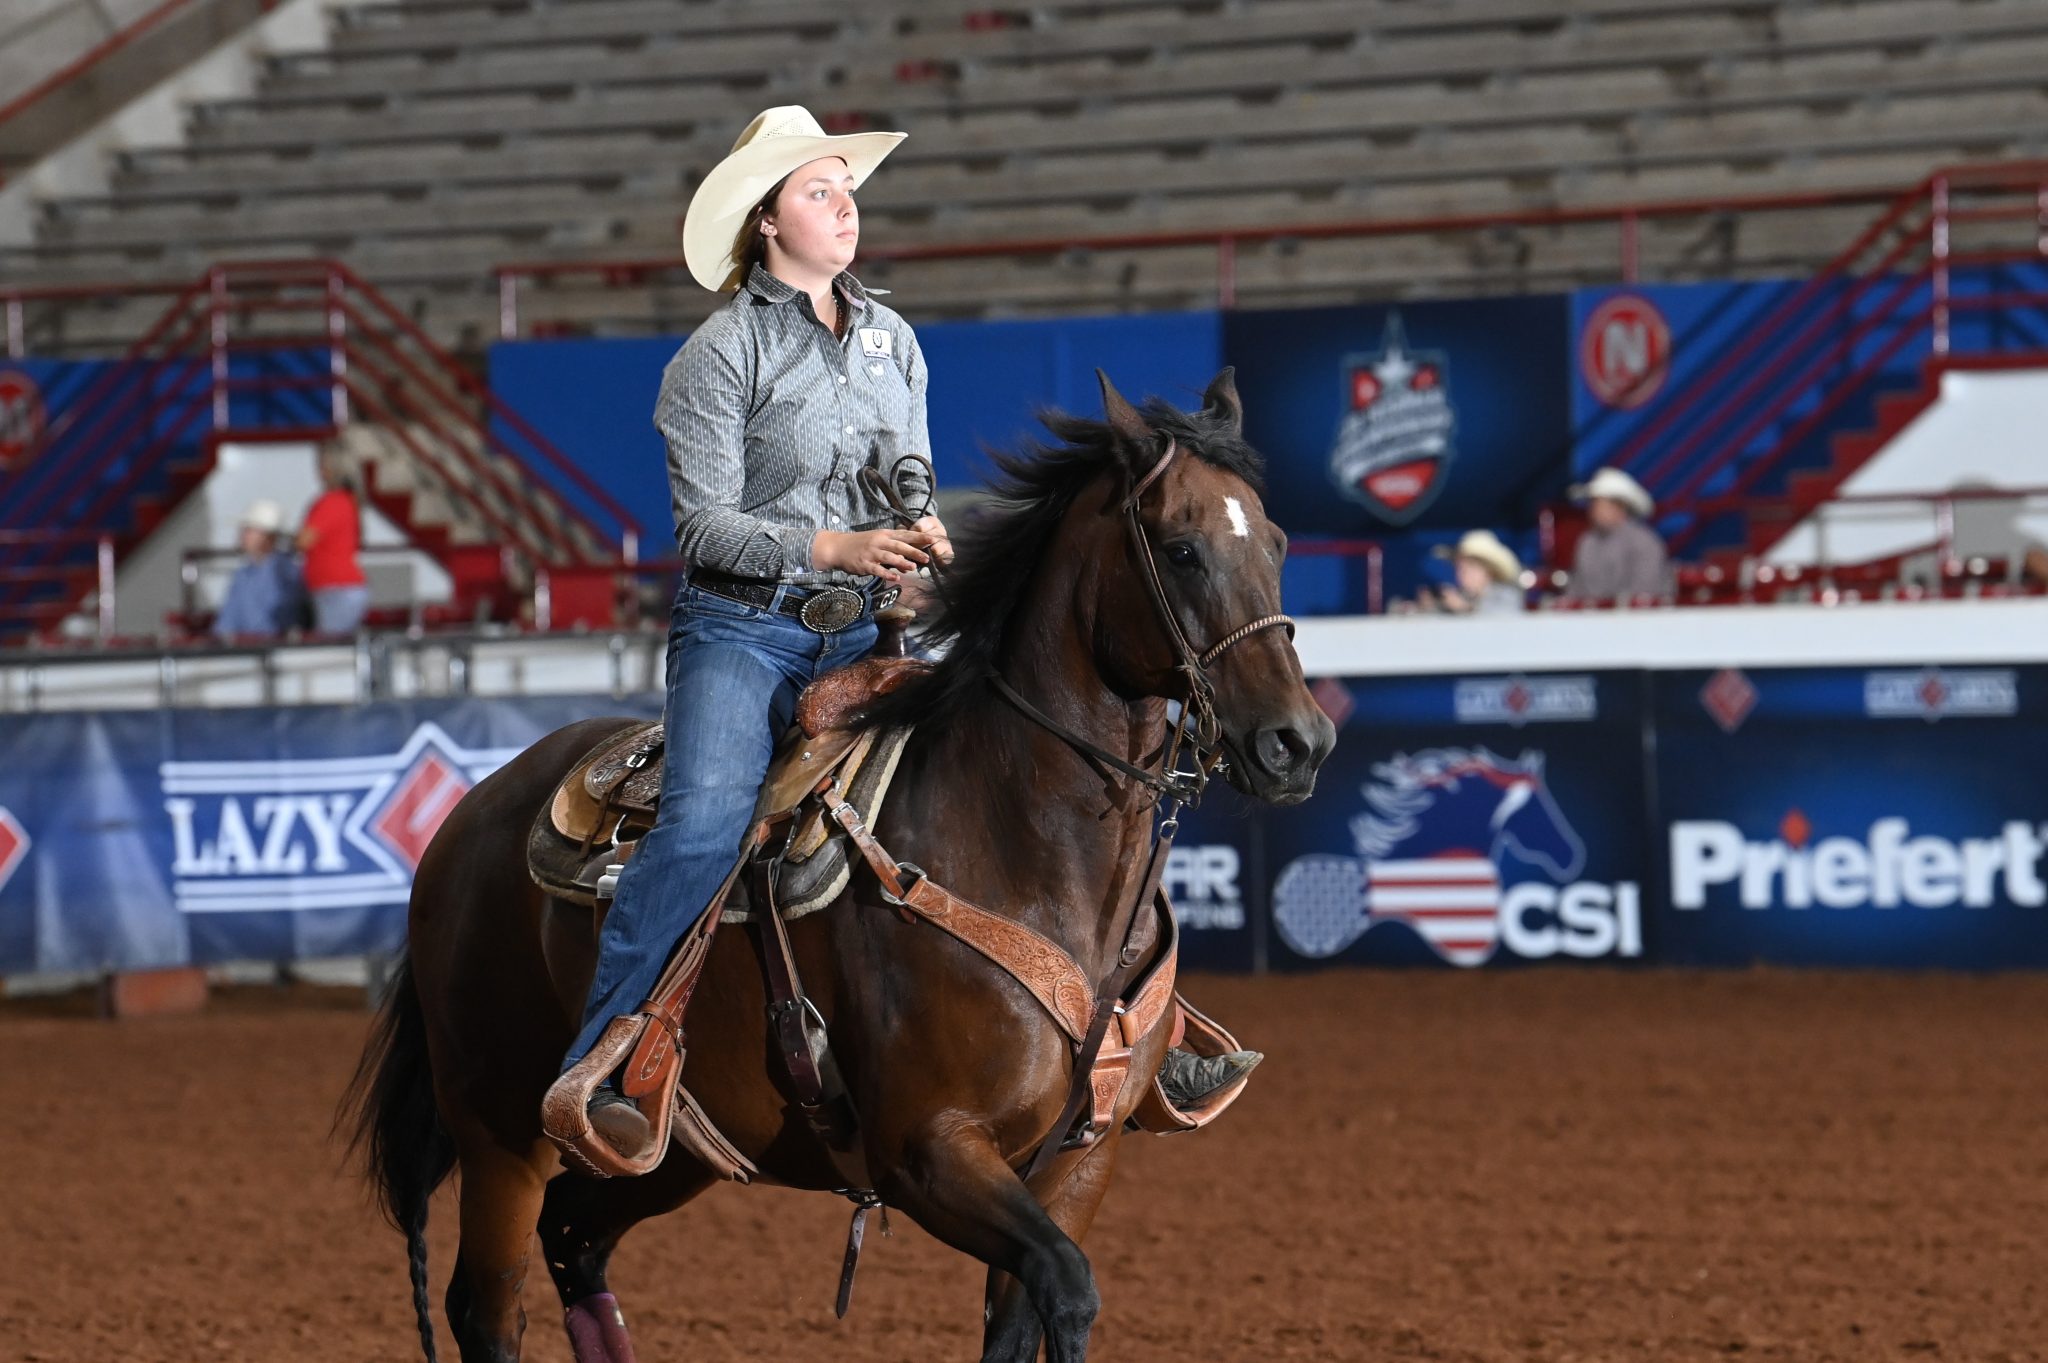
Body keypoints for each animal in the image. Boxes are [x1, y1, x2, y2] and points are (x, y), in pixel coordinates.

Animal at [344, 366, 1335, 1350]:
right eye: (1181, 549)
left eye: (1277, 540)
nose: (1299, 741)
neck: (1026, 853)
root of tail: (471, 813)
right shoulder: (929, 1150)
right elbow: (1068, 1286)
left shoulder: (1079, 1160)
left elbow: (1029, 1314)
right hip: (497, 1126)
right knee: (487, 1299)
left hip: (687, 1148)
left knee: (573, 1236)